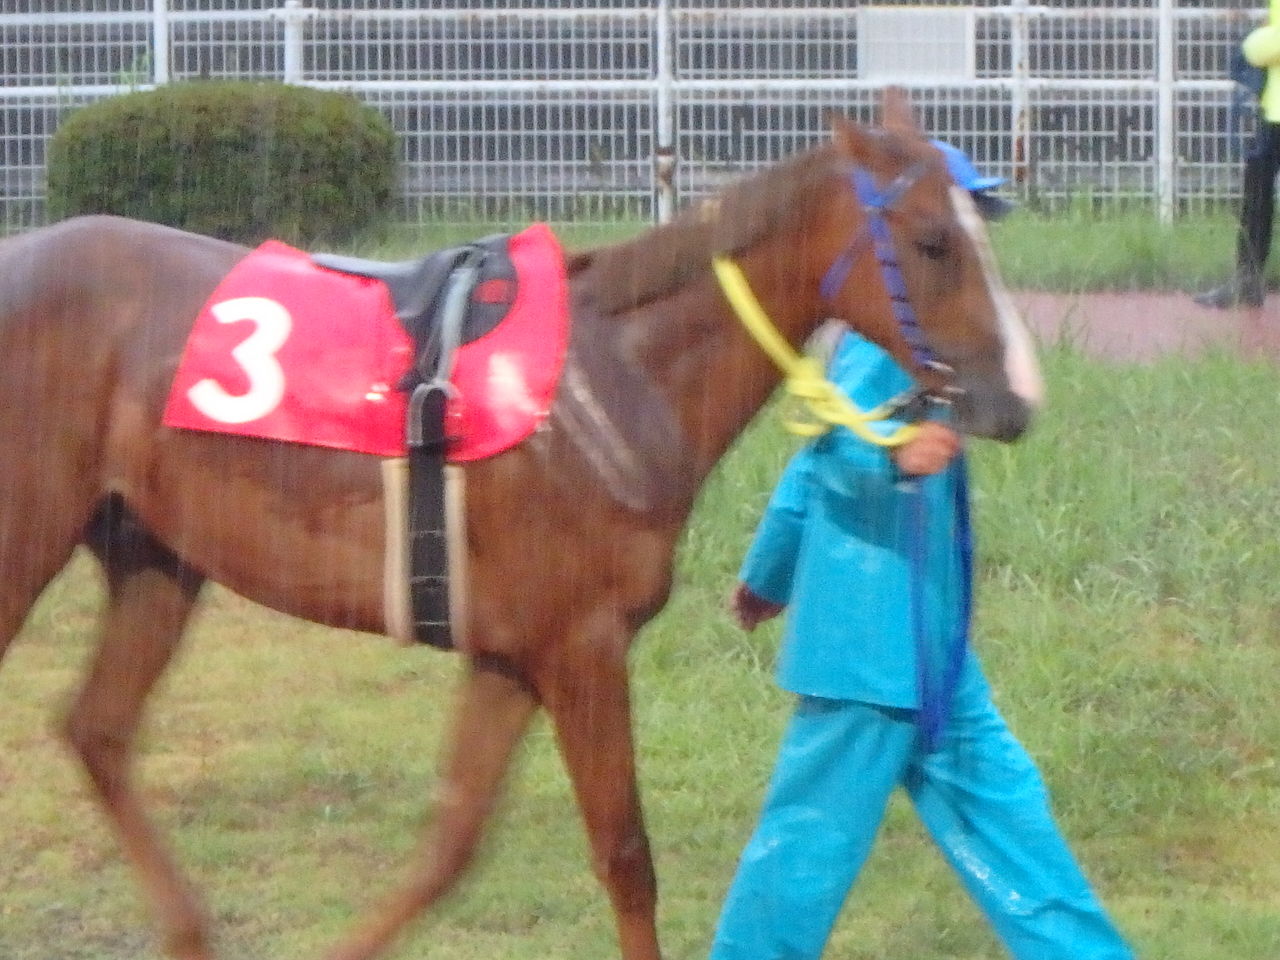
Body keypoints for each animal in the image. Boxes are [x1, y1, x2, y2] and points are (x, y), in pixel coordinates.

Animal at [0, 92, 1039, 960]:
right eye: (934, 242)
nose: (1016, 400)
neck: (611, 380)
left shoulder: (509, 653)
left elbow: (451, 841)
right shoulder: (581, 645)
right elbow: (625, 856)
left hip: (155, 555)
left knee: (97, 730)